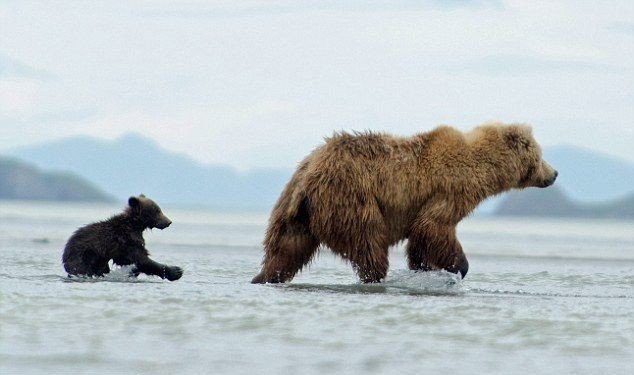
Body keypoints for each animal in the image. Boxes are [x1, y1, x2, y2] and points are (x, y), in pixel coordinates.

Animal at [249, 123, 556, 284]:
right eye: (540, 155)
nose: (554, 174)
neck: (481, 168)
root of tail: (310, 172)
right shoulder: (449, 190)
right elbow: (434, 226)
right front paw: (459, 266)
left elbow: (421, 238)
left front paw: (424, 266)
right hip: (351, 198)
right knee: (369, 244)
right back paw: (375, 276)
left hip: (294, 209)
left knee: (286, 248)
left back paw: (264, 276)